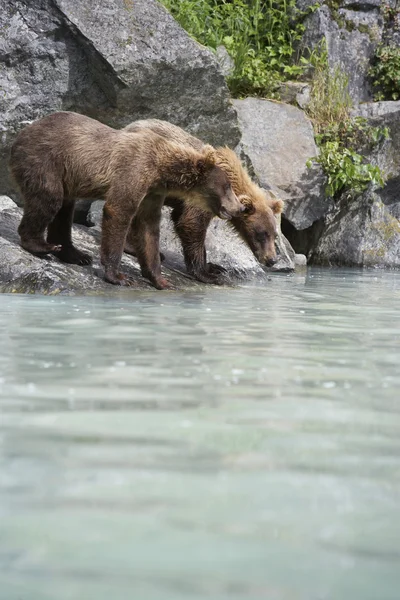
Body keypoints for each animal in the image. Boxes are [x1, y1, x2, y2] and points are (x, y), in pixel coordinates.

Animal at [9, 114, 242, 290]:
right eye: (228, 187)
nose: (239, 207)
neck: (162, 169)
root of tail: (23, 132)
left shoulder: (152, 193)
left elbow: (148, 230)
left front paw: (161, 279)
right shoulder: (133, 171)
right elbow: (118, 212)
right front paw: (119, 276)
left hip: (66, 175)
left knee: (64, 211)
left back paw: (76, 254)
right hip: (46, 160)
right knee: (49, 199)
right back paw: (40, 244)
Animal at [123, 120, 282, 284]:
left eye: (275, 235)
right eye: (261, 234)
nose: (272, 259)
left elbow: (181, 218)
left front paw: (215, 267)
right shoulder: (206, 193)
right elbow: (192, 223)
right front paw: (207, 274)